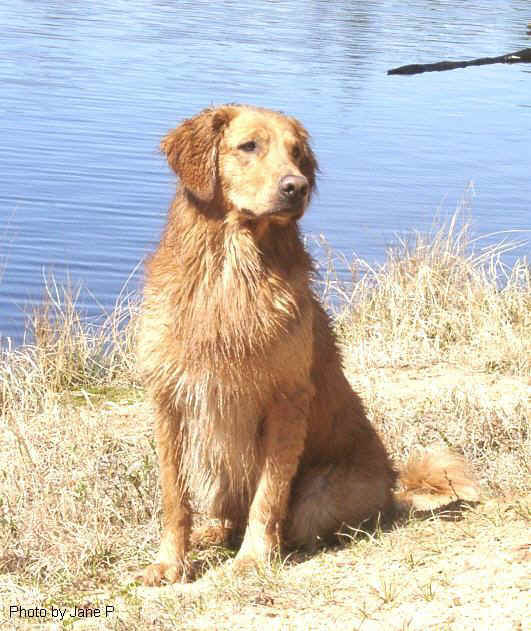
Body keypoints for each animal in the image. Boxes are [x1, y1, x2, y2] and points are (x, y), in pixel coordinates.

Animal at [136, 105, 478, 588]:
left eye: (296, 152)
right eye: (249, 146)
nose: (295, 187)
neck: (231, 272)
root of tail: (394, 489)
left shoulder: (285, 401)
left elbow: (269, 493)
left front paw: (254, 559)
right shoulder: (168, 398)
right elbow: (174, 496)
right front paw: (171, 561)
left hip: (322, 490)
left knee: (296, 521)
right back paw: (211, 533)